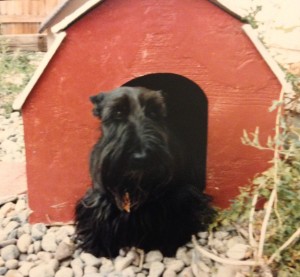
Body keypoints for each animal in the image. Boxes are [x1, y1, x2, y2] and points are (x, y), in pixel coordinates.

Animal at [75, 86, 216, 256]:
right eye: (118, 113)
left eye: (153, 113)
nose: (141, 157)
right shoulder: (99, 198)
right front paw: (97, 244)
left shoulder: (179, 198)